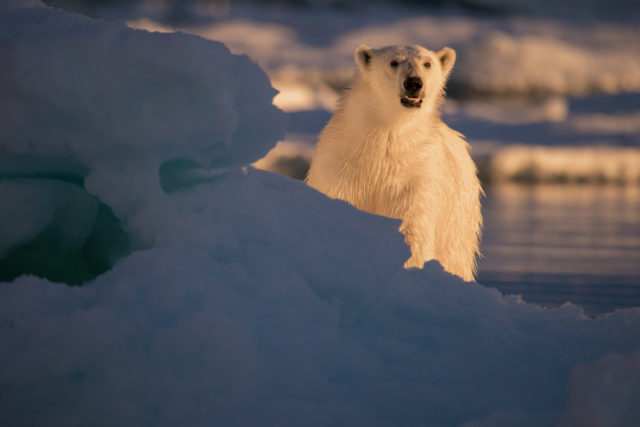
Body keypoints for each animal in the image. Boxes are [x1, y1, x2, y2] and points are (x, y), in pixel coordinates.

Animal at [304, 45, 480, 282]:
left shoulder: (416, 175)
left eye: (427, 63)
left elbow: (411, 224)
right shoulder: (340, 167)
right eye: (394, 62)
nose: (414, 83)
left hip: (458, 218)